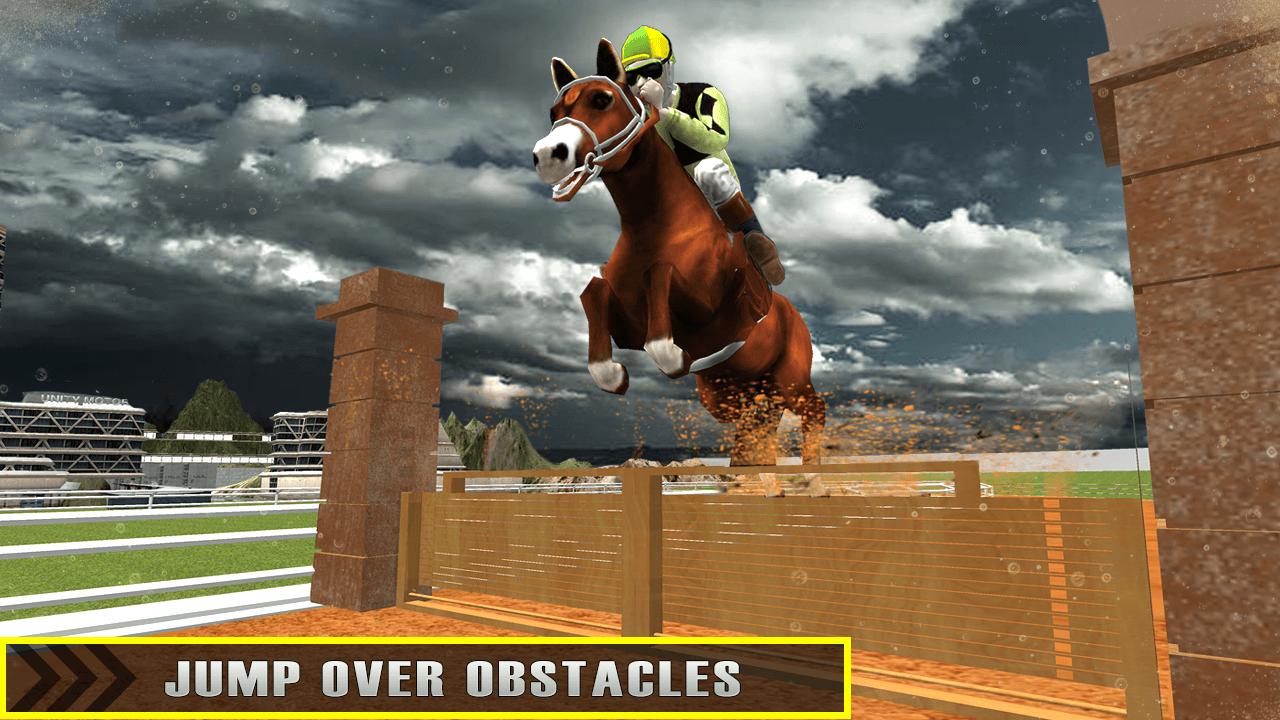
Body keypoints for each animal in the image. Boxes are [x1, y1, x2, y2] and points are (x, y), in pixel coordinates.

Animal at [532, 38, 825, 466]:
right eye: (555, 112)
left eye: (602, 99)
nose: (547, 155)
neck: (653, 225)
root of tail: (797, 317)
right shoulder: (626, 318)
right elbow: (593, 291)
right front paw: (613, 374)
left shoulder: (706, 303)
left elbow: (660, 279)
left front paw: (671, 354)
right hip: (734, 391)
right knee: (756, 427)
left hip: (791, 378)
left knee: (814, 410)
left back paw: (811, 471)